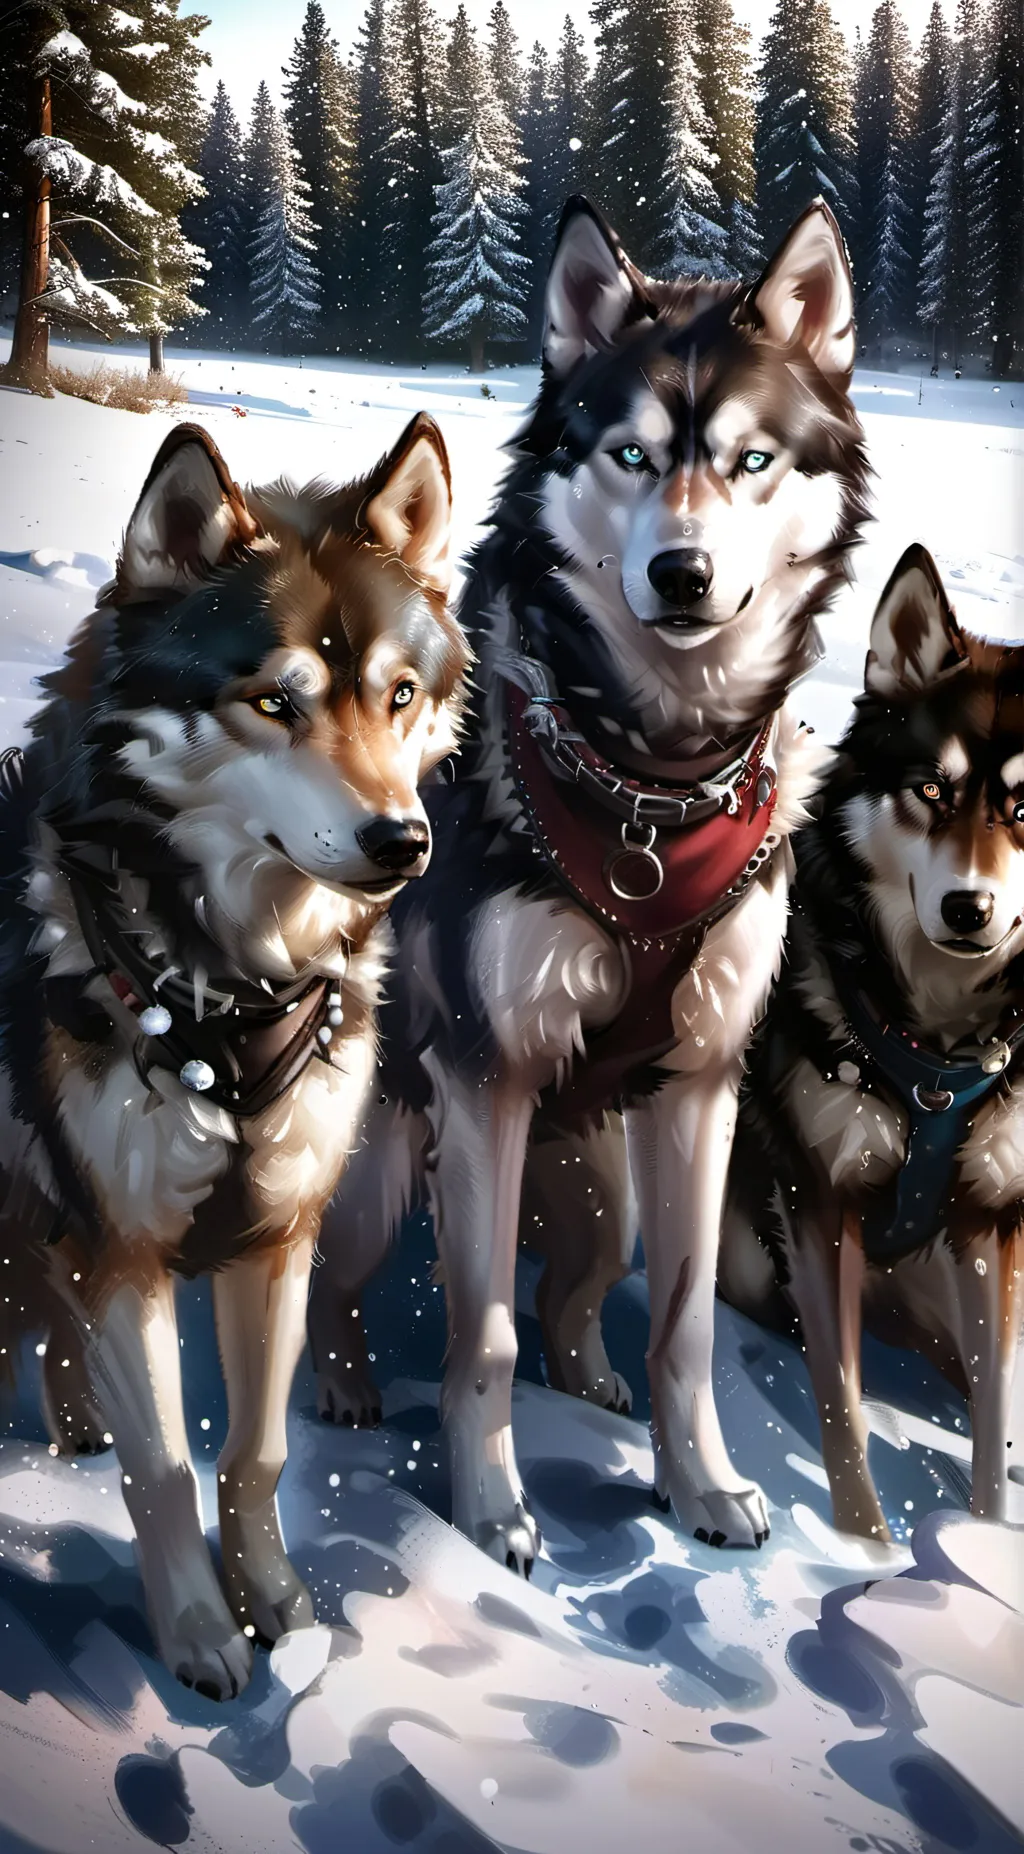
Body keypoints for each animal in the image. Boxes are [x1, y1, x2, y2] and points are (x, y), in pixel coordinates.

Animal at [0, 412, 469, 1697]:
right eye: (274, 702)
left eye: (398, 695)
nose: (403, 841)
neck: (229, 991)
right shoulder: (124, 1244)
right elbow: (164, 1467)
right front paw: (199, 1639)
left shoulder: (278, 1236)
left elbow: (253, 1453)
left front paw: (282, 1615)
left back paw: (72, 1419)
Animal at [310, 193, 870, 1568]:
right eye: (626, 455)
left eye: (752, 460)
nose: (680, 573)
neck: (652, 780)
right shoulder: (486, 1082)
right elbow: (480, 1336)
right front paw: (491, 1511)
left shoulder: (703, 1086)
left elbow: (682, 1322)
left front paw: (700, 1485)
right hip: (388, 1170)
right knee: (336, 1289)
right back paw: (344, 1386)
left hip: (603, 1183)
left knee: (576, 1288)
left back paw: (593, 1379)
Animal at [721, 545, 1024, 1540]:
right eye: (932, 790)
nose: (969, 909)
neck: (934, 1055)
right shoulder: (819, 1204)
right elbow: (842, 1408)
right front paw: (866, 1551)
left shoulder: (989, 1221)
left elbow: (994, 1414)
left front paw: (983, 1538)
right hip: (753, 1254)